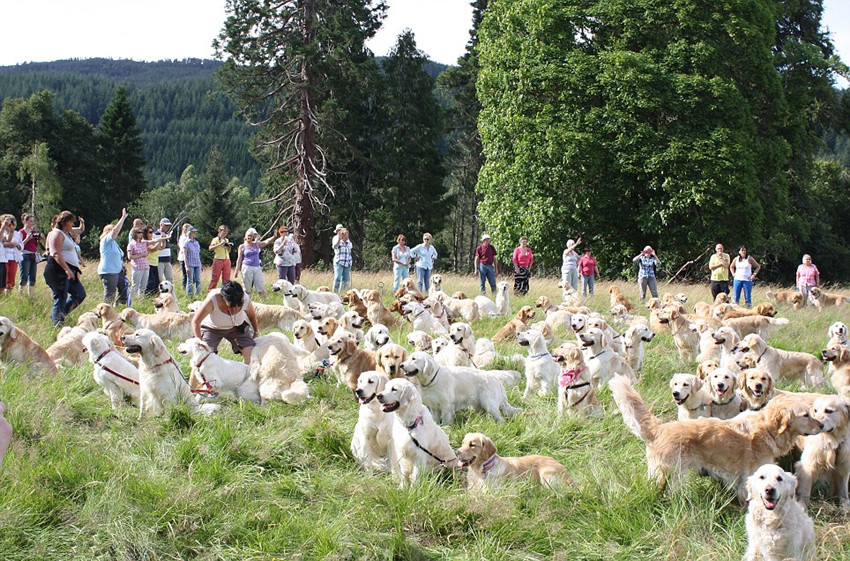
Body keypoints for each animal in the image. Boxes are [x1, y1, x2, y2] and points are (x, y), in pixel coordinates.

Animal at [609, 376, 823, 504]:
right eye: (806, 415)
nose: (822, 425)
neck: (767, 428)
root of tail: (659, 429)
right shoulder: (750, 476)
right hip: (666, 474)